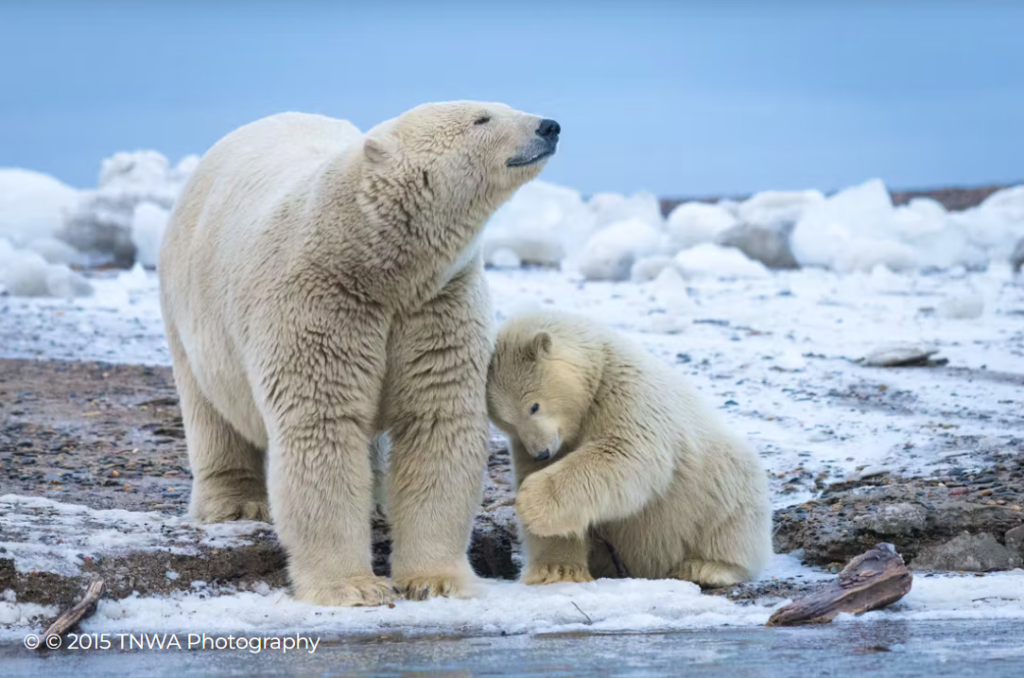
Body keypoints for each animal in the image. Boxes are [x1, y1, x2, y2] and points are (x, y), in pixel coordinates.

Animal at [159, 100, 561, 606]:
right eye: (482, 118)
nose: (549, 126)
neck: (370, 257)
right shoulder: (317, 299)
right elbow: (323, 427)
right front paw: (353, 586)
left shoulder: (436, 302)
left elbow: (436, 420)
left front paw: (436, 580)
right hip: (189, 304)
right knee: (210, 408)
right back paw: (236, 503)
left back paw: (374, 504)